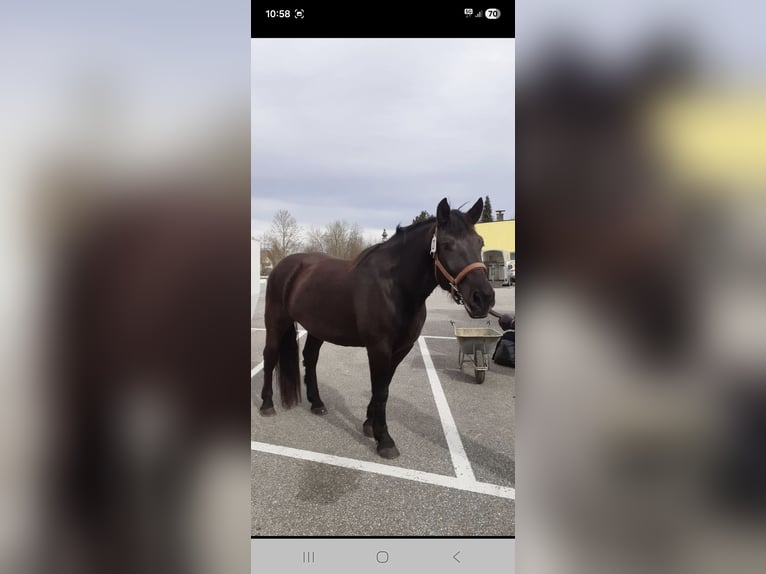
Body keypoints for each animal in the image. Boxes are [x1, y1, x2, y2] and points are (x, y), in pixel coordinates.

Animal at [259, 197, 495, 459]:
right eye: (446, 244)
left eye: (480, 242)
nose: (483, 298)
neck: (394, 288)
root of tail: (284, 266)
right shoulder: (378, 348)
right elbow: (380, 390)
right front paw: (385, 440)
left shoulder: (401, 349)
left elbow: (383, 387)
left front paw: (370, 425)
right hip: (275, 320)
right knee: (270, 356)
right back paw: (267, 404)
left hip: (317, 328)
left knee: (310, 358)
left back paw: (317, 404)